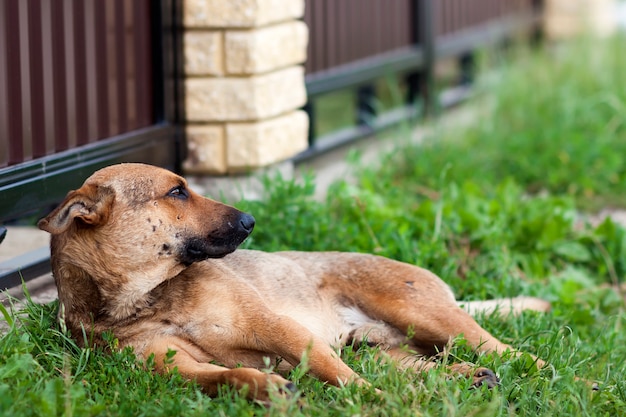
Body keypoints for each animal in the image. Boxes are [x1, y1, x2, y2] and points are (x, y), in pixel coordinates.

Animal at [37, 162, 552, 400]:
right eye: (177, 192)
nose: (250, 221)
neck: (146, 299)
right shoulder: (167, 365)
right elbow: (225, 375)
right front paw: (266, 388)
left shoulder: (280, 329)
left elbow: (337, 374)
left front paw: (371, 400)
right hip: (378, 347)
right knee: (416, 365)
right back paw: (468, 378)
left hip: (430, 317)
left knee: (513, 353)